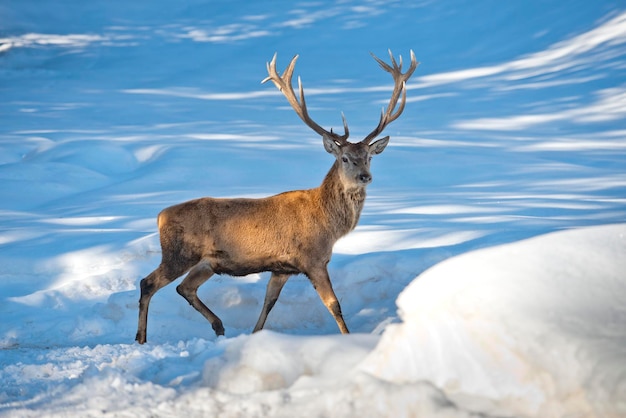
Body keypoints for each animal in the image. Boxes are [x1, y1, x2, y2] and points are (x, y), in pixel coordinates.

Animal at [133, 49, 414, 342]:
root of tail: (160, 216)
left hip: (208, 263)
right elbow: (334, 304)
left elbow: (269, 302)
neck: (328, 224)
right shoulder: (312, 259)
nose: (364, 177)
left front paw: (255, 334)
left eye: (369, 157)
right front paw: (348, 338)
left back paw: (218, 326)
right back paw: (141, 338)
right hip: (178, 253)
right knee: (148, 282)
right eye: (345, 158)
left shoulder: (282, 268)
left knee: (185, 288)